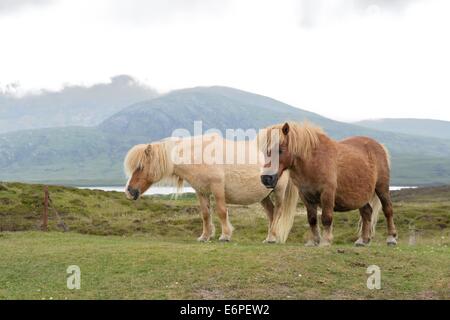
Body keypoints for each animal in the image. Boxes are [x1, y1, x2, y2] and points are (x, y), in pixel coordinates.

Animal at [260, 121, 398, 246]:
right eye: (264, 152)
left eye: (280, 150)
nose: (266, 178)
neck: (313, 161)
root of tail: (380, 146)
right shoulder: (306, 196)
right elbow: (312, 219)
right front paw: (314, 241)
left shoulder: (327, 193)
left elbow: (326, 217)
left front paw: (325, 241)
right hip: (360, 195)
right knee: (367, 212)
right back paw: (362, 240)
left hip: (382, 188)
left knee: (388, 210)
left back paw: (391, 238)